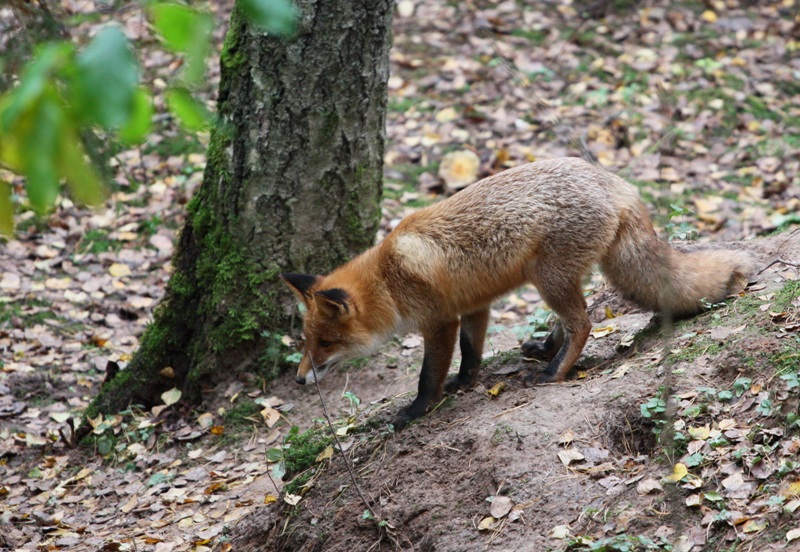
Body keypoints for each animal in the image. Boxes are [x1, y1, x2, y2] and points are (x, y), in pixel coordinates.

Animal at [282, 157, 756, 430]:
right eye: (306, 341)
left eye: (326, 342)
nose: (300, 379)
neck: (388, 277)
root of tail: (618, 184)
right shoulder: (474, 306)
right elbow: (471, 353)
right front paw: (465, 383)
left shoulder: (439, 321)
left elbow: (426, 375)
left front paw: (415, 412)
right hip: (556, 278)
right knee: (575, 318)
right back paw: (546, 349)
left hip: (547, 278)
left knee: (583, 322)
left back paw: (554, 372)